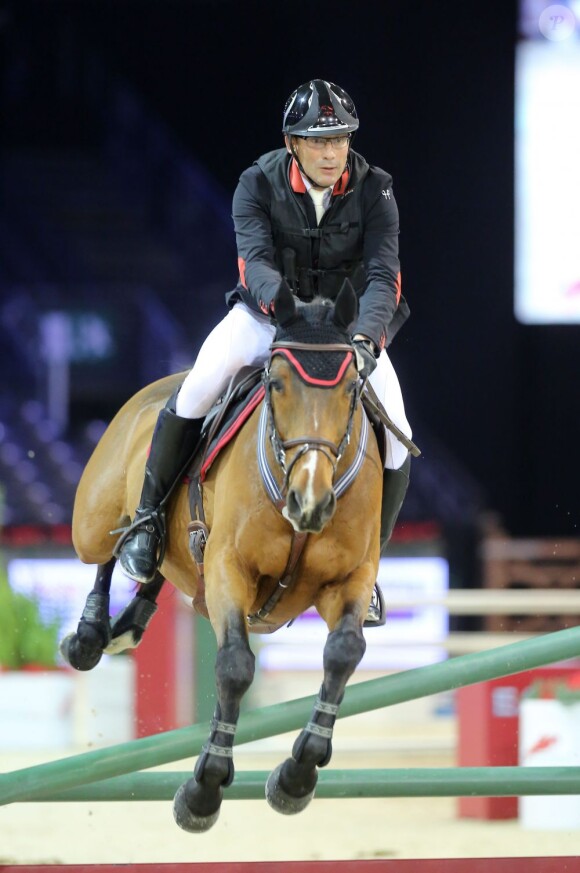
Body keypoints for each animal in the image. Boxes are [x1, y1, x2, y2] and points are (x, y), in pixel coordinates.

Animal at [63, 282, 382, 832]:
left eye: (350, 390)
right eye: (277, 385)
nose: (310, 501)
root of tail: (163, 384)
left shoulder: (350, 579)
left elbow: (343, 654)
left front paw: (297, 777)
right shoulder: (229, 569)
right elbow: (234, 666)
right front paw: (203, 792)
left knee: (162, 569)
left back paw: (129, 620)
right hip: (93, 521)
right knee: (112, 546)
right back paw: (91, 630)